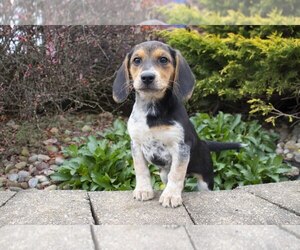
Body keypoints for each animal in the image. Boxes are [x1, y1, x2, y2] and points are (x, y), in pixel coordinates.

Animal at [112, 42, 241, 208]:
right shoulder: (136, 144)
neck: (152, 110)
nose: (147, 77)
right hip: (163, 174)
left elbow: (177, 173)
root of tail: (204, 143)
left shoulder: (181, 148)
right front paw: (143, 190)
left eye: (163, 59)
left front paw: (171, 195)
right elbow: (141, 170)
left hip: (205, 179)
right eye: (136, 60)